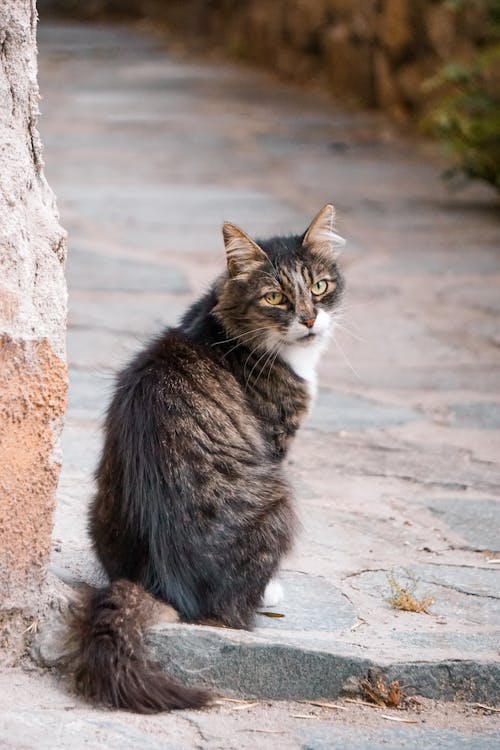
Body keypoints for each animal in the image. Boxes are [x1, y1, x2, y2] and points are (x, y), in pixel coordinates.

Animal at [68, 204, 346, 716]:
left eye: (319, 287)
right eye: (275, 297)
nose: (309, 320)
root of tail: (161, 580)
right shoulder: (277, 442)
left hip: (98, 506)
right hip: (279, 496)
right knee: (233, 613)